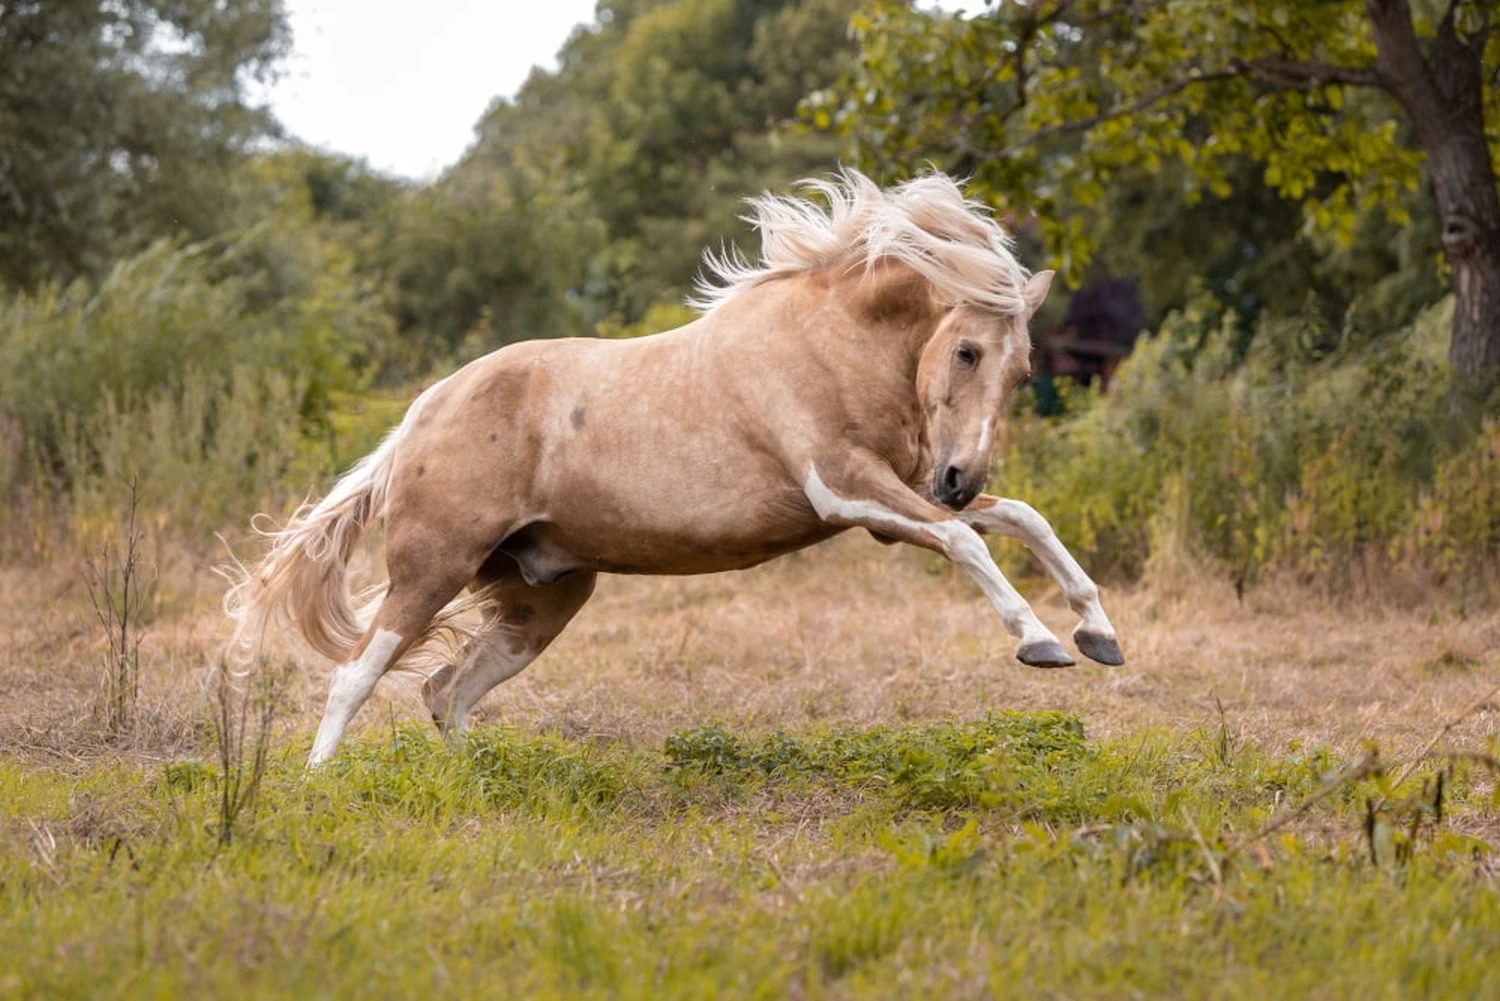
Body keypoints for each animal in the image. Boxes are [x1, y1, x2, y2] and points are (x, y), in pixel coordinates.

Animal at [225, 170, 1128, 768]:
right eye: (967, 350)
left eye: (1021, 372)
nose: (959, 478)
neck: (827, 343)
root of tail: (421, 414)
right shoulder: (847, 490)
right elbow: (971, 542)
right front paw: (1041, 642)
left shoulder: (890, 503)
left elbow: (1021, 519)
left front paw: (1099, 633)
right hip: (431, 568)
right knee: (357, 674)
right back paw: (318, 785)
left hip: (542, 598)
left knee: (445, 689)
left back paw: (471, 785)